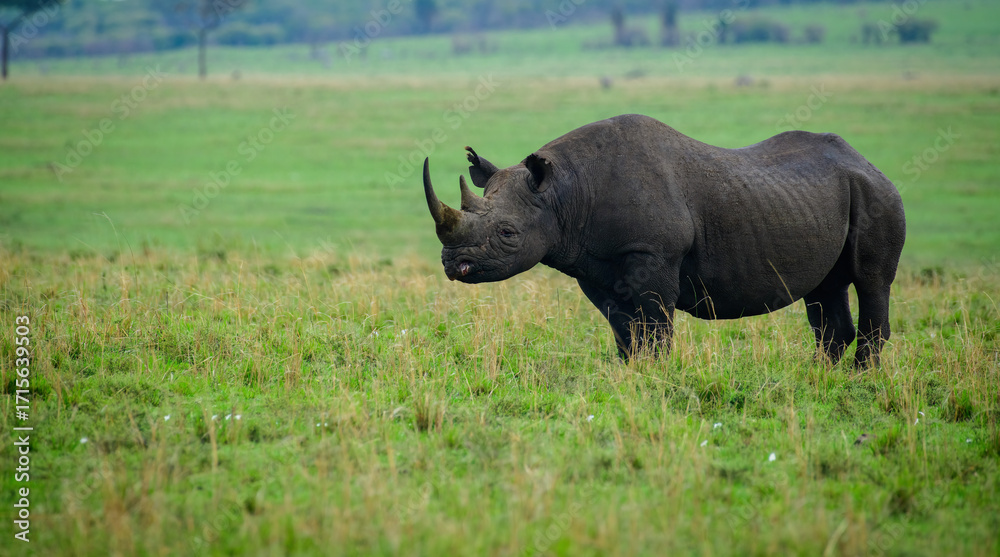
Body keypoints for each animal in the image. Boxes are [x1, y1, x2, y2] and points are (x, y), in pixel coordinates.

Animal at [422, 114, 905, 367]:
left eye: (507, 234)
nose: (453, 264)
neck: (564, 193)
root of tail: (869, 162)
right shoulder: (595, 266)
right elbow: (623, 328)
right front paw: (630, 373)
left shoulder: (654, 253)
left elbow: (656, 324)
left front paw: (658, 374)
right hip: (822, 197)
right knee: (825, 289)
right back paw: (822, 377)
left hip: (877, 193)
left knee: (871, 282)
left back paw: (861, 378)